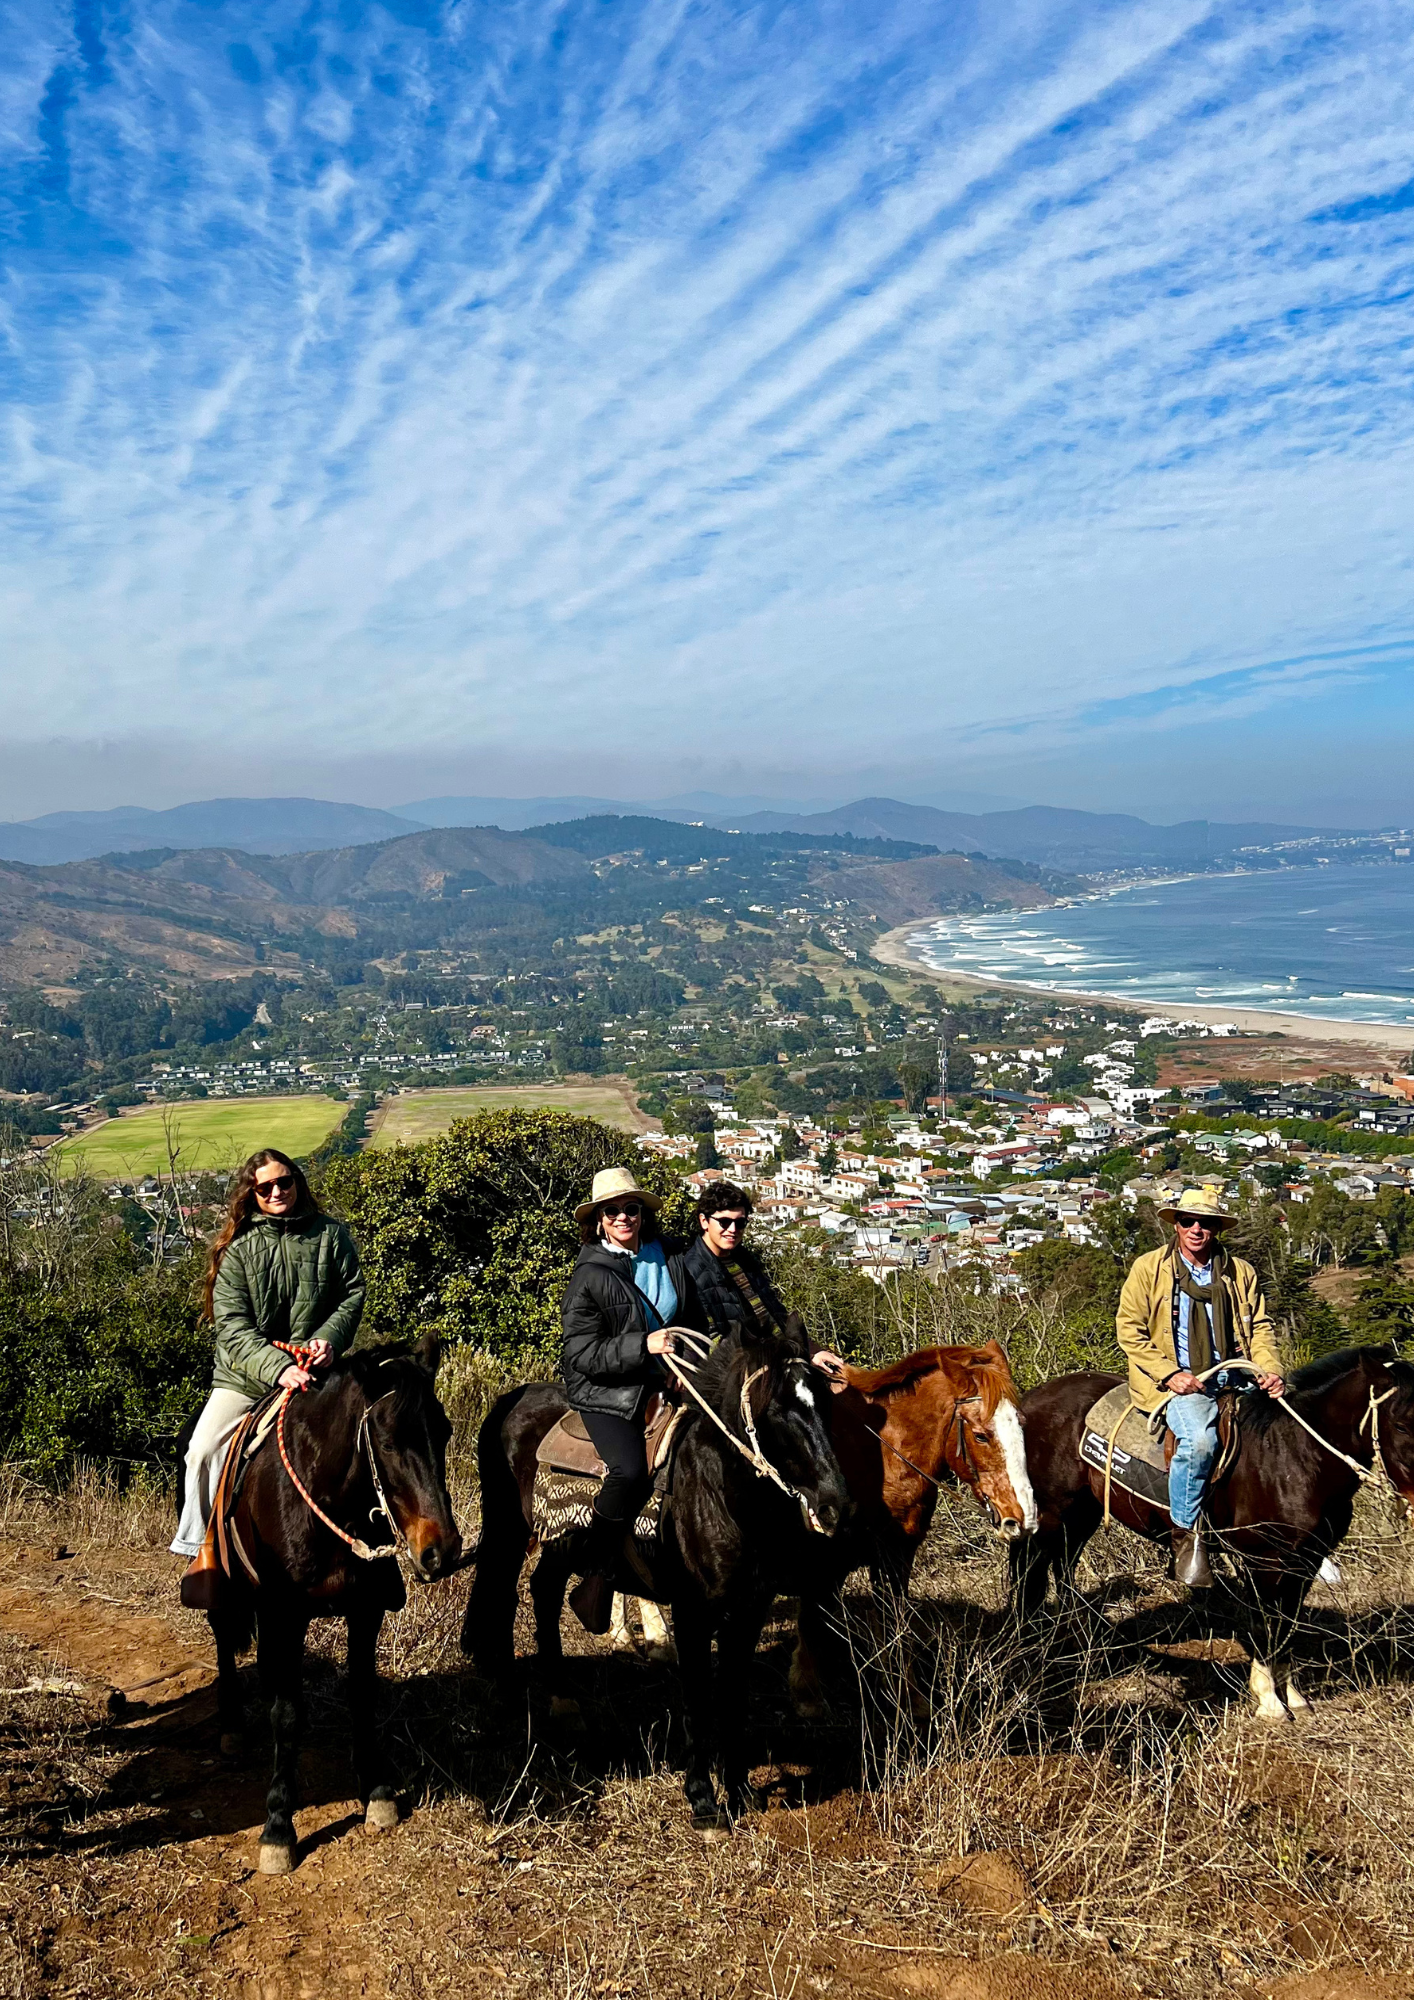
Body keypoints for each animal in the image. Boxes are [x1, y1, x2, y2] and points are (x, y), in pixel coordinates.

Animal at [180, 1336, 462, 1864]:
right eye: (387, 1442)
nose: (442, 1550)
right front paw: (277, 1826)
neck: (329, 1503)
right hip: (224, 1585)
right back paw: (231, 1725)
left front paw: (376, 1792)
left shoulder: (365, 1612)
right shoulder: (284, 1612)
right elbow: (288, 1715)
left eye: (445, 1432)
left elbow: (361, 1694)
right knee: (225, 1639)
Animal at [462, 1320, 852, 1832]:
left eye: (825, 1401)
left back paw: (564, 1703)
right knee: (503, 1593)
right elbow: (698, 1700)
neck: (718, 1493)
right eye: (776, 1410)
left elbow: (733, 1697)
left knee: (542, 1591)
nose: (834, 1506)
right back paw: (510, 1693)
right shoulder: (691, 1612)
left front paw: (740, 1789)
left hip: (558, 1546)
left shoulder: (749, 1609)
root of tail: (510, 1401)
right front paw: (703, 1800)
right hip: (508, 1528)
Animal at [1008, 1344, 1414, 1720]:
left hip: (1082, 1514)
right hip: (1053, 1512)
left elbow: (1288, 1624)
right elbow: (1265, 1624)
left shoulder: (1306, 1561)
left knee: (1062, 1567)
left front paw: (1294, 1696)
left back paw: (1077, 1636)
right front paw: (1269, 1702)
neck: (1292, 1455)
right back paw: (1031, 1646)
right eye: (1401, 1423)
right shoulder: (1263, 1560)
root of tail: (1029, 1400)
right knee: (1031, 1575)